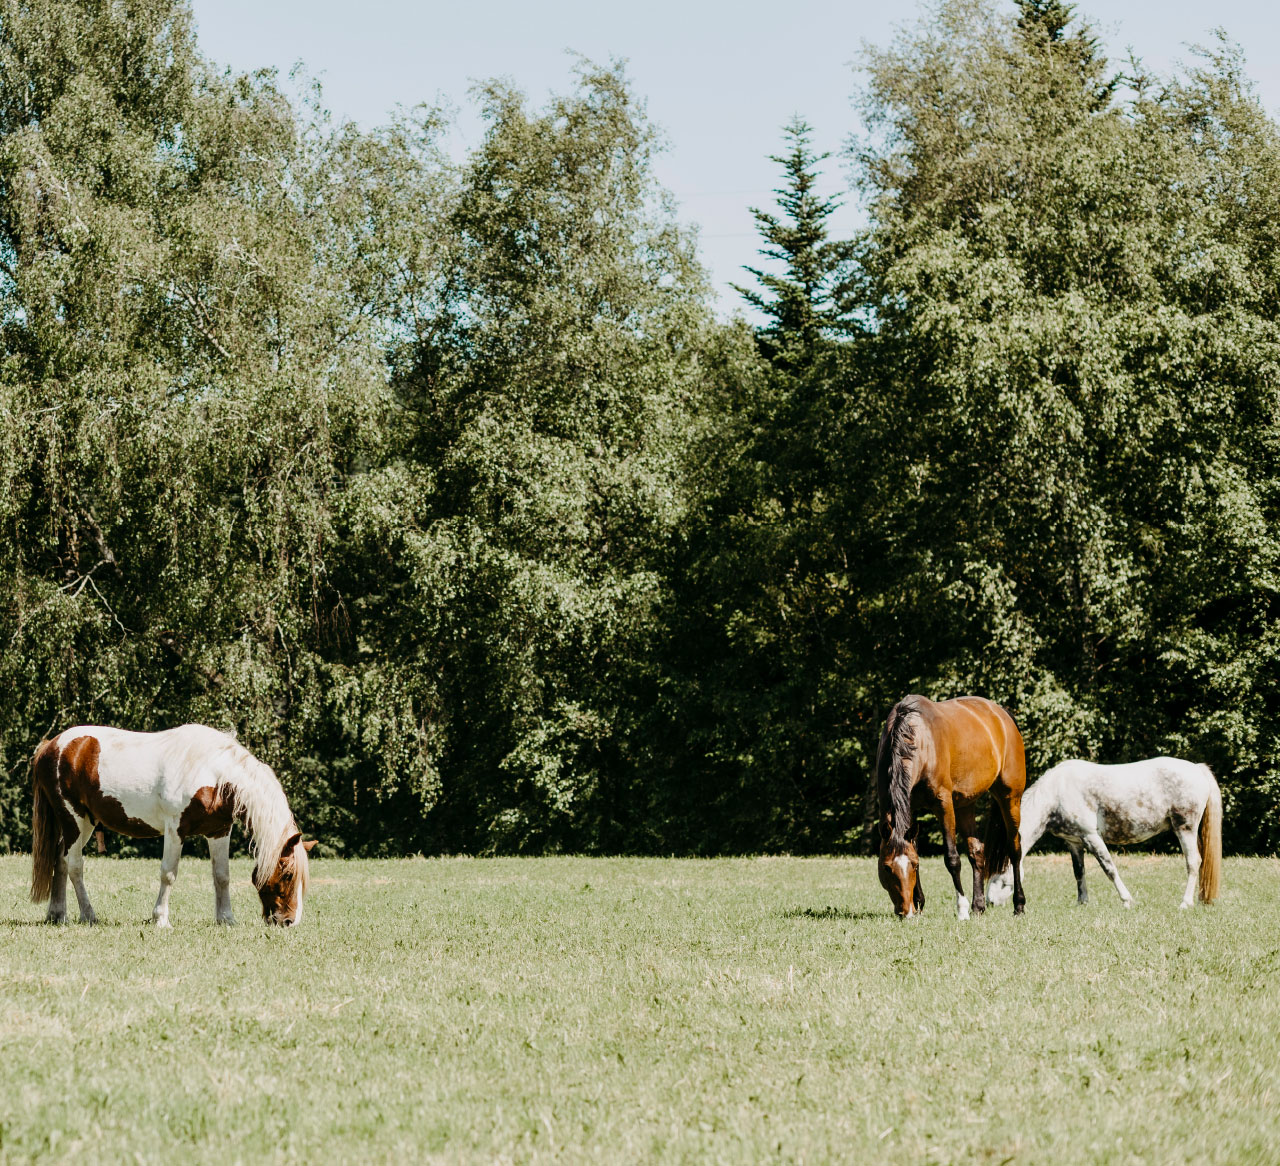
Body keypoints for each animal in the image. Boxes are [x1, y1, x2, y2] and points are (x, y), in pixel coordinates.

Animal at [30, 723, 315, 927]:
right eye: (289, 874)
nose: (290, 921)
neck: (213, 773)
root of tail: (51, 745)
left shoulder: (219, 831)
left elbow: (222, 876)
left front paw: (226, 919)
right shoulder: (175, 830)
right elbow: (168, 873)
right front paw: (160, 919)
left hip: (84, 823)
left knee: (61, 860)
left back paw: (57, 914)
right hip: (74, 819)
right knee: (75, 866)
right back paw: (88, 915)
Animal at [876, 695, 1027, 919]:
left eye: (913, 865)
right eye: (886, 868)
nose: (907, 912)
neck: (919, 740)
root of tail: (1003, 715)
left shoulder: (944, 804)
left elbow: (952, 858)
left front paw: (961, 909)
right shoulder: (910, 809)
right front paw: (919, 904)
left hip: (1010, 798)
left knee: (1014, 849)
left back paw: (1019, 905)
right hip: (966, 804)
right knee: (977, 852)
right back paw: (978, 906)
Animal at [985, 757, 1222, 910]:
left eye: (1002, 876)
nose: (990, 902)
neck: (1056, 793)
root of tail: (1197, 769)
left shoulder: (1091, 837)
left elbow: (1109, 868)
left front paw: (1127, 900)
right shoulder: (1074, 843)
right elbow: (1079, 872)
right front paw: (1082, 902)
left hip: (1185, 828)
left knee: (1193, 863)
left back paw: (1185, 903)